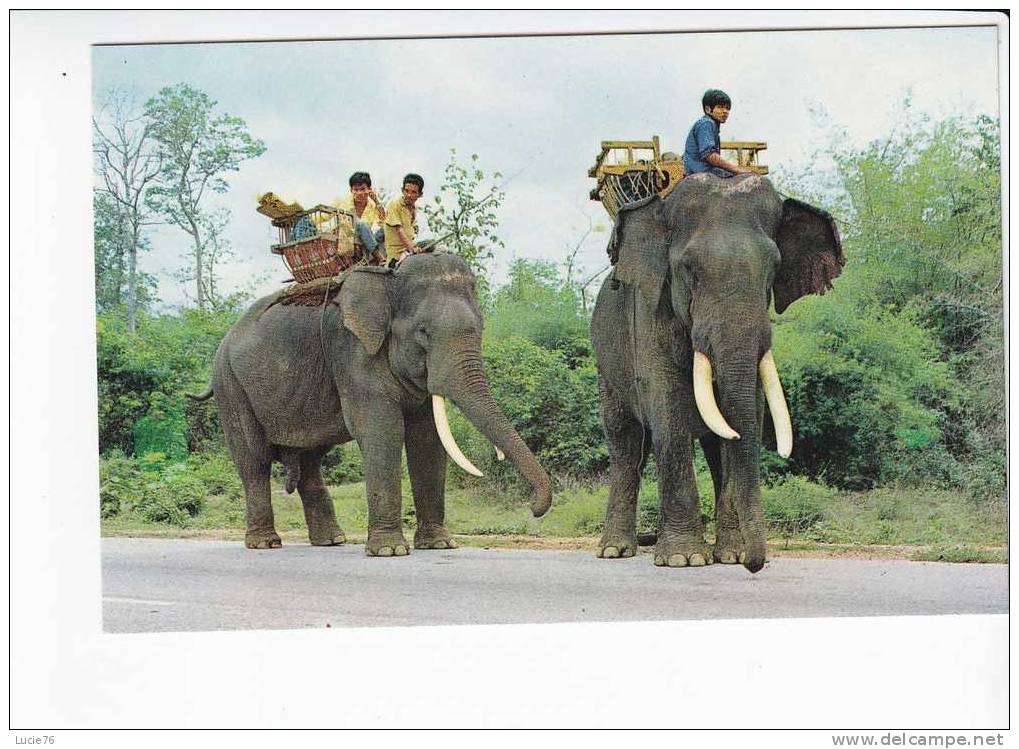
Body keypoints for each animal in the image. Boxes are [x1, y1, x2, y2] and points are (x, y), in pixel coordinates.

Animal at [194, 254, 554, 554]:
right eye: (423, 332)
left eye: (481, 329)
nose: (533, 509)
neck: (387, 281)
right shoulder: (352, 349)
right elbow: (382, 431)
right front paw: (390, 551)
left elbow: (427, 440)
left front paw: (439, 545)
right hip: (231, 387)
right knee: (253, 461)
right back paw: (265, 544)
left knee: (309, 461)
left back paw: (331, 541)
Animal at [591, 174, 843, 574]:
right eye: (689, 269)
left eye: (774, 268)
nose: (755, 566)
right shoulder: (649, 314)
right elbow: (669, 417)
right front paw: (684, 559)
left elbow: (745, 417)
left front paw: (732, 556)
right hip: (607, 366)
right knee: (626, 445)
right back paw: (615, 550)